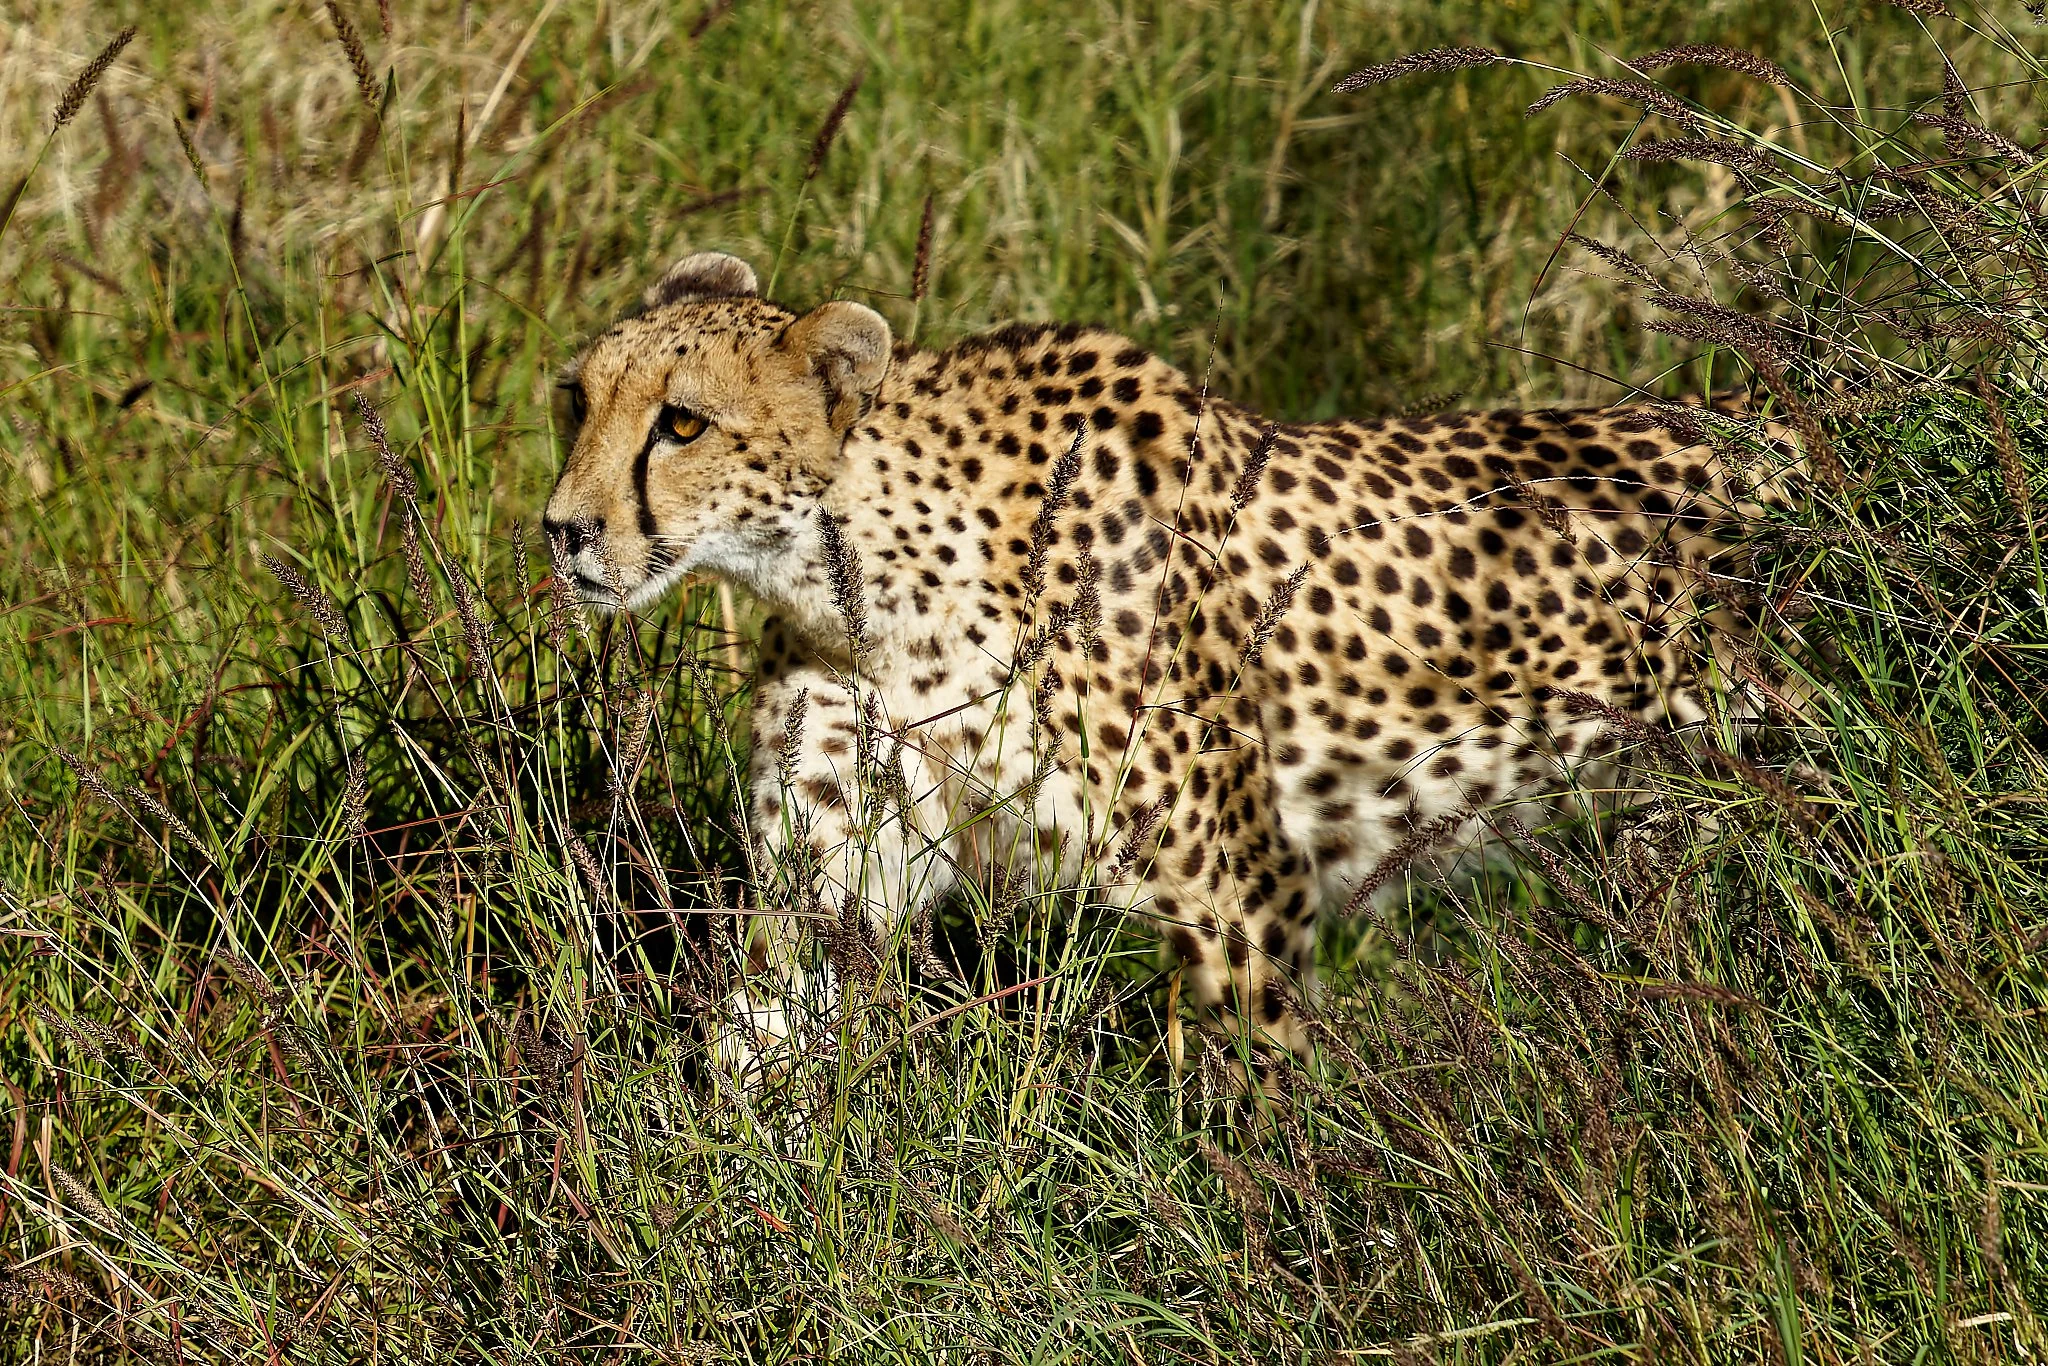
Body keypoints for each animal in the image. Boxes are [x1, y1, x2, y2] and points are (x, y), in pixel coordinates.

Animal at [542, 248, 1791, 1073]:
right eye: (576, 400)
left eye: (683, 424)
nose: (563, 530)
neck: (859, 584)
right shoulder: (832, 881)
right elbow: (759, 1056)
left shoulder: (1241, 891)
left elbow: (1260, 1115)